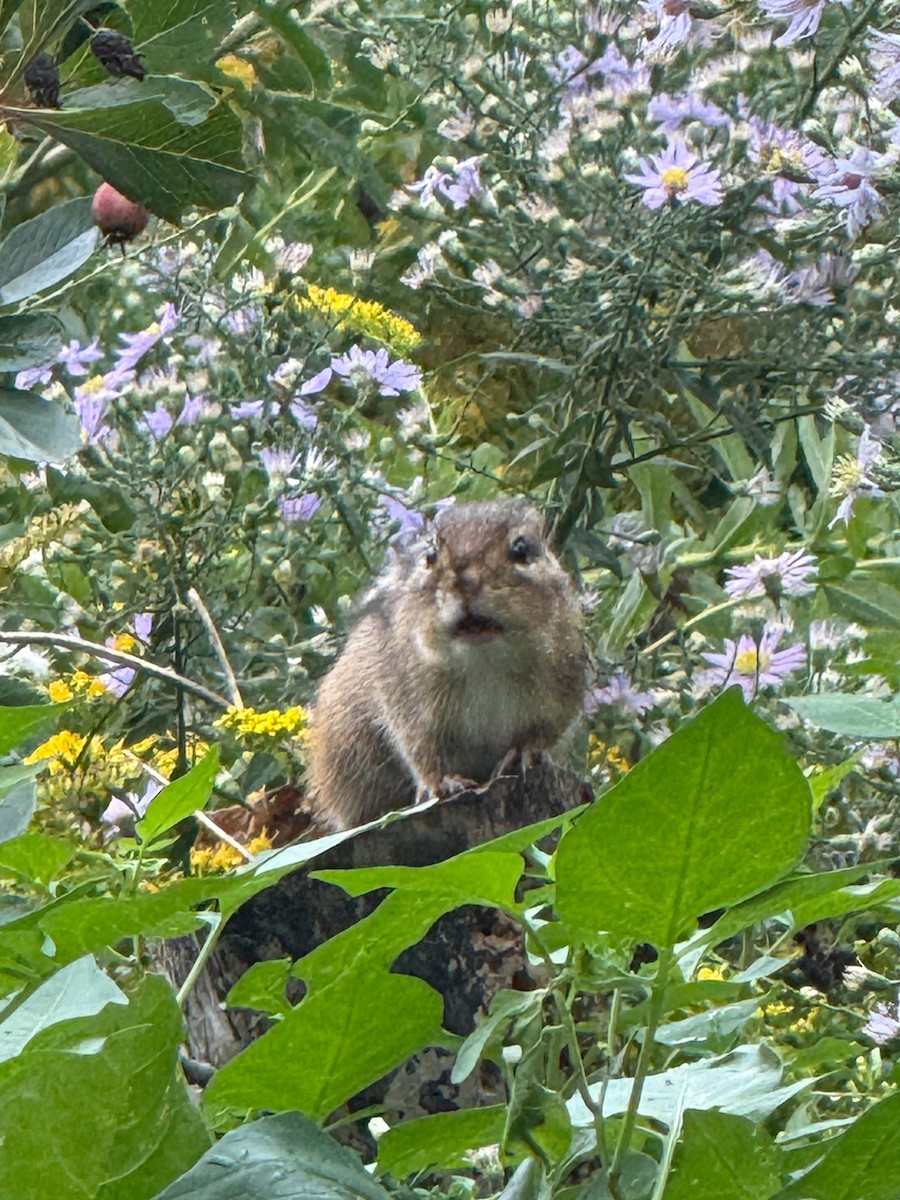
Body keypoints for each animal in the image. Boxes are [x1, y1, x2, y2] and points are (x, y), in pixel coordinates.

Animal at [309, 498, 588, 830]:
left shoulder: (559, 700)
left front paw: (524, 754)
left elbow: (541, 734)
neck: (484, 663)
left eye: (522, 549)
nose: (464, 581)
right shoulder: (411, 710)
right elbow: (423, 752)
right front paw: (443, 782)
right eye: (430, 556)